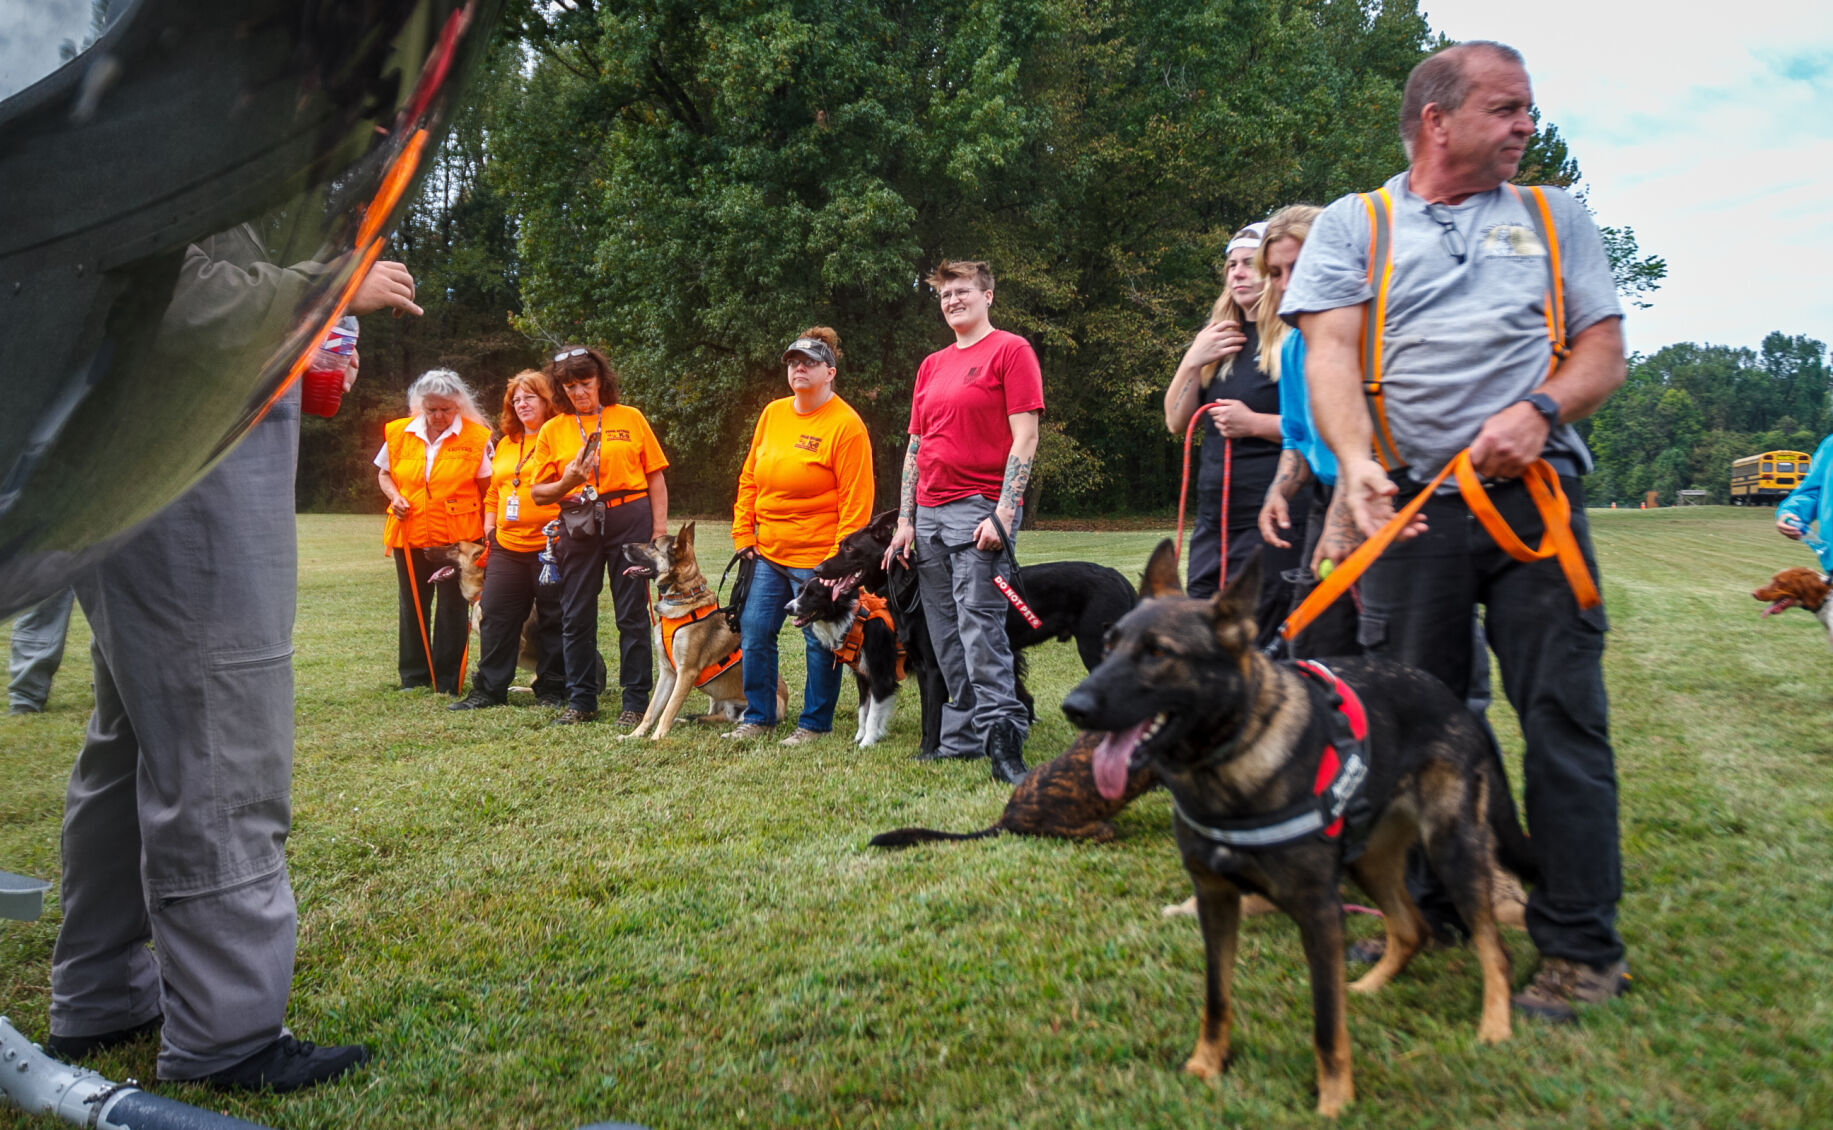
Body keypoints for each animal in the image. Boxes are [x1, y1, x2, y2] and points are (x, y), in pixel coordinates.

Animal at [619, 524, 784, 741]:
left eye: (653, 545)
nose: (622, 546)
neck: (682, 596)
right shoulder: (668, 672)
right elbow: (652, 710)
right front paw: (635, 736)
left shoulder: (686, 673)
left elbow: (668, 709)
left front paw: (656, 738)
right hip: (715, 699)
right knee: (707, 717)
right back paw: (683, 721)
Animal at [784, 572, 905, 752]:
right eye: (799, 592)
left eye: (813, 594)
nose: (787, 608)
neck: (856, 620)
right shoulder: (863, 677)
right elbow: (863, 711)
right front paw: (861, 736)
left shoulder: (881, 677)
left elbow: (873, 714)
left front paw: (867, 741)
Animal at [813, 513, 1129, 759]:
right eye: (841, 545)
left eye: (850, 548)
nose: (817, 569)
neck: (911, 588)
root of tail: (1119, 578)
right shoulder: (922, 668)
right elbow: (930, 716)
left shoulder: (934, 669)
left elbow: (934, 716)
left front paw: (928, 754)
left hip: (1097, 651)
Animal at [1063, 542, 1532, 1115]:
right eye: (1110, 645)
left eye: (1157, 653)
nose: (1073, 708)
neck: (1229, 759)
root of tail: (1454, 702)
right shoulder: (1216, 901)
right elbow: (1217, 998)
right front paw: (1205, 1066)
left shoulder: (1318, 912)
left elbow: (1326, 1022)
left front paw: (1334, 1102)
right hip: (1369, 861)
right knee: (1410, 928)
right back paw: (1371, 985)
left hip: (1451, 852)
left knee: (1493, 949)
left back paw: (1495, 1025)